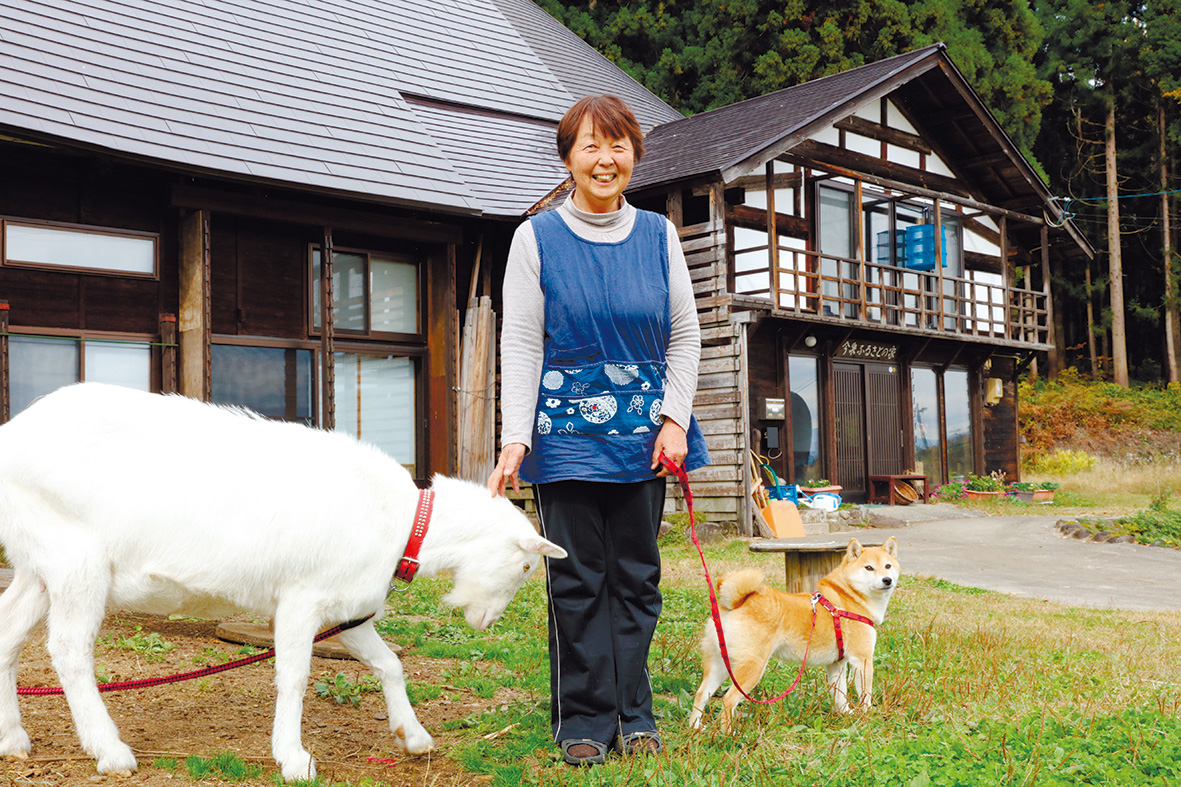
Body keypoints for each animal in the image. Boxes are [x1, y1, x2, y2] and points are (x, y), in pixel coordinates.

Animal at [0, 380, 564, 779]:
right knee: (69, 650)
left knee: (8, 634)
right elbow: (293, 676)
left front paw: (415, 736)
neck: (402, 520)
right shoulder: (301, 599)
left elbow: (389, 663)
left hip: (40, 563)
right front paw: (293, 758)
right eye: (526, 566)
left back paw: (13, 739)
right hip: (76, 559)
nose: (485, 622)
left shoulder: (346, 609)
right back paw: (111, 750)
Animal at [689, 534, 897, 727]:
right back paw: (729, 736)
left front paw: (846, 715)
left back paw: (695, 730)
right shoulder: (862, 659)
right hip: (753, 667)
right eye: (869, 568)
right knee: (728, 700)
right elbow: (865, 695)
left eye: (887, 566)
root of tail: (735, 603)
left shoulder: (836, 664)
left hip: (721, 664)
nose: (887, 580)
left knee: (701, 695)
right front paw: (867, 718)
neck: (850, 596)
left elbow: (840, 695)